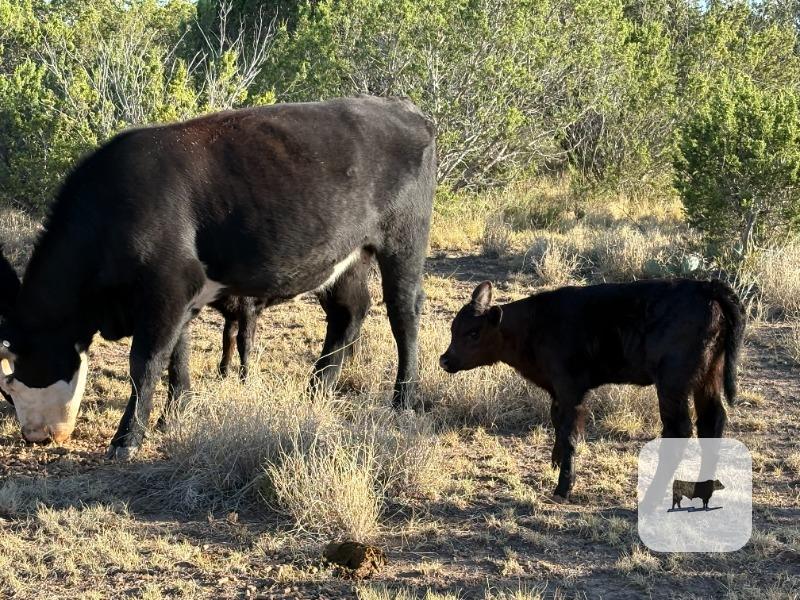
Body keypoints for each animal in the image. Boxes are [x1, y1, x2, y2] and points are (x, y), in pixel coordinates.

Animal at [0, 95, 436, 459]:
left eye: (10, 385)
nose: (33, 437)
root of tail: (406, 110)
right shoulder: (179, 298)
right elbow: (178, 357)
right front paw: (175, 414)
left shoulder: (167, 291)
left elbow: (146, 363)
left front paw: (127, 439)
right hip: (346, 256)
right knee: (349, 313)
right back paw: (317, 389)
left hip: (403, 242)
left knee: (404, 312)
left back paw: (403, 399)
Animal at [439, 279, 745, 501]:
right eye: (454, 329)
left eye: (473, 333)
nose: (445, 359)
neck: (535, 325)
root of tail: (708, 287)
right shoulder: (558, 392)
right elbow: (557, 423)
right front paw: (555, 462)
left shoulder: (571, 389)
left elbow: (571, 434)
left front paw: (563, 487)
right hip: (708, 378)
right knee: (711, 423)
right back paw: (703, 491)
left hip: (673, 384)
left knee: (679, 430)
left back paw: (653, 497)